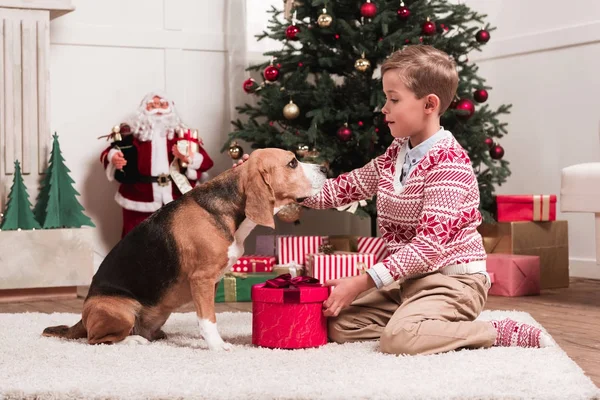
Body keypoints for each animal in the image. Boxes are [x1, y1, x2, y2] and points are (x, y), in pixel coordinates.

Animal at [42, 148, 328, 350]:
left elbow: (207, 316)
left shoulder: (211, 282)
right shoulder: (202, 279)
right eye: (292, 163)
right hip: (121, 311)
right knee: (96, 339)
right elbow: (208, 319)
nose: (326, 167)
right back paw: (133, 340)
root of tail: (82, 317)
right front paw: (217, 346)